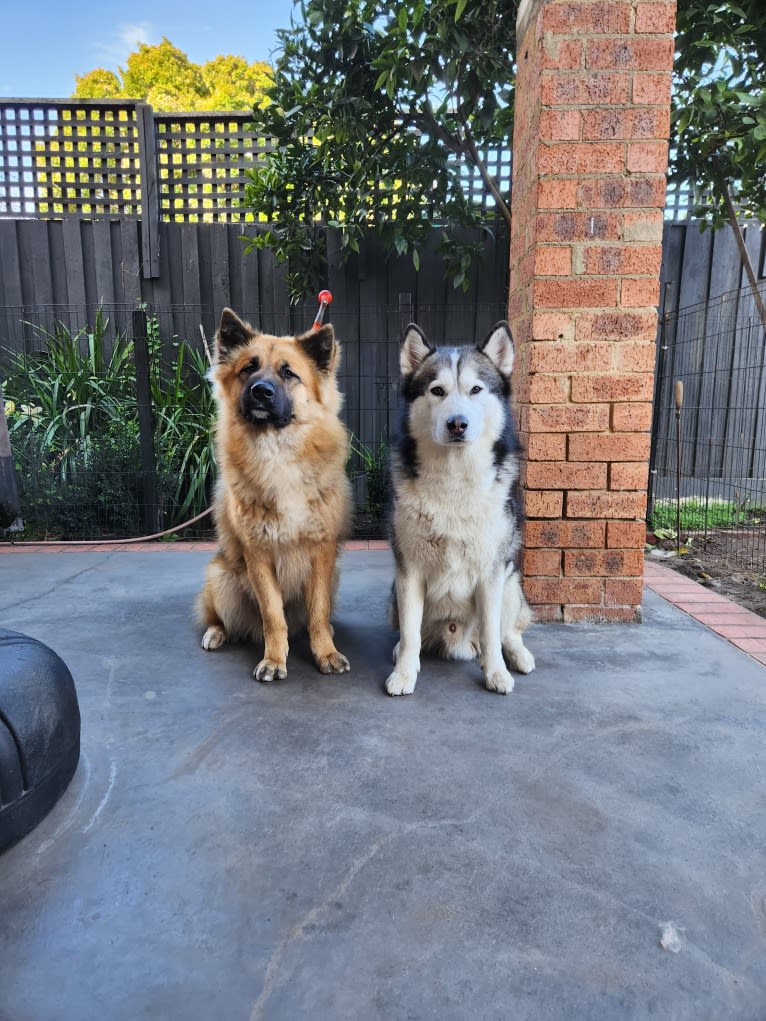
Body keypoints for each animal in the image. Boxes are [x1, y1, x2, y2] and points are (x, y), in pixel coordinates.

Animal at [198, 306, 353, 682]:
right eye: (248, 369)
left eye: (288, 373)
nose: (260, 392)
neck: (278, 452)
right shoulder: (258, 555)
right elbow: (272, 615)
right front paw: (273, 659)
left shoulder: (322, 553)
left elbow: (318, 612)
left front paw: (325, 652)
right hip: (221, 577)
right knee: (220, 617)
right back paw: (217, 632)